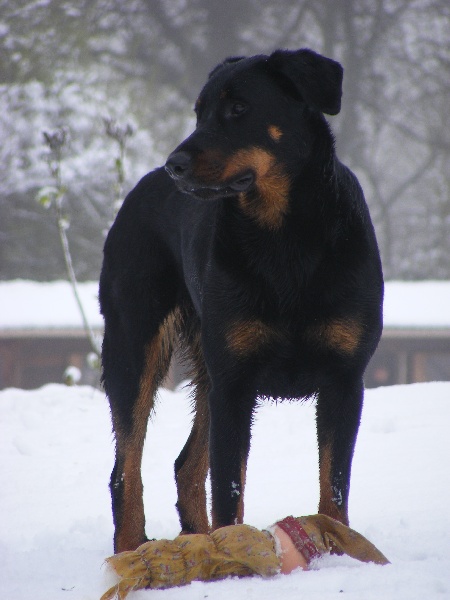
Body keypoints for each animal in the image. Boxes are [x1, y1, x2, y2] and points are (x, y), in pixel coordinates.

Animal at [99, 47, 384, 552]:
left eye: (238, 108)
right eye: (198, 112)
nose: (174, 163)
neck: (284, 235)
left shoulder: (344, 380)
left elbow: (333, 485)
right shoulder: (235, 383)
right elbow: (229, 489)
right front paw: (234, 552)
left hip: (205, 368)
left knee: (185, 465)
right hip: (135, 347)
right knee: (126, 468)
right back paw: (132, 549)